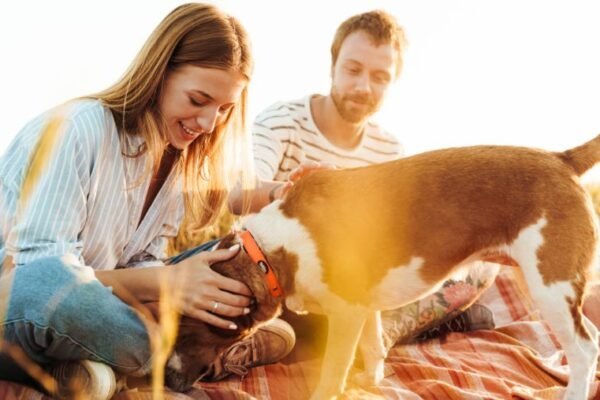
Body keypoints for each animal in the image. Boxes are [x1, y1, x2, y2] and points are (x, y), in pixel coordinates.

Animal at [169, 135, 600, 400]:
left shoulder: (345, 315)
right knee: (590, 338)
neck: (269, 254)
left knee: (583, 349)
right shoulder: (363, 307)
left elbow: (332, 371)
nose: (168, 380)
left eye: (187, 328)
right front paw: (372, 381)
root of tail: (561, 159)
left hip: (550, 287)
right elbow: (374, 345)